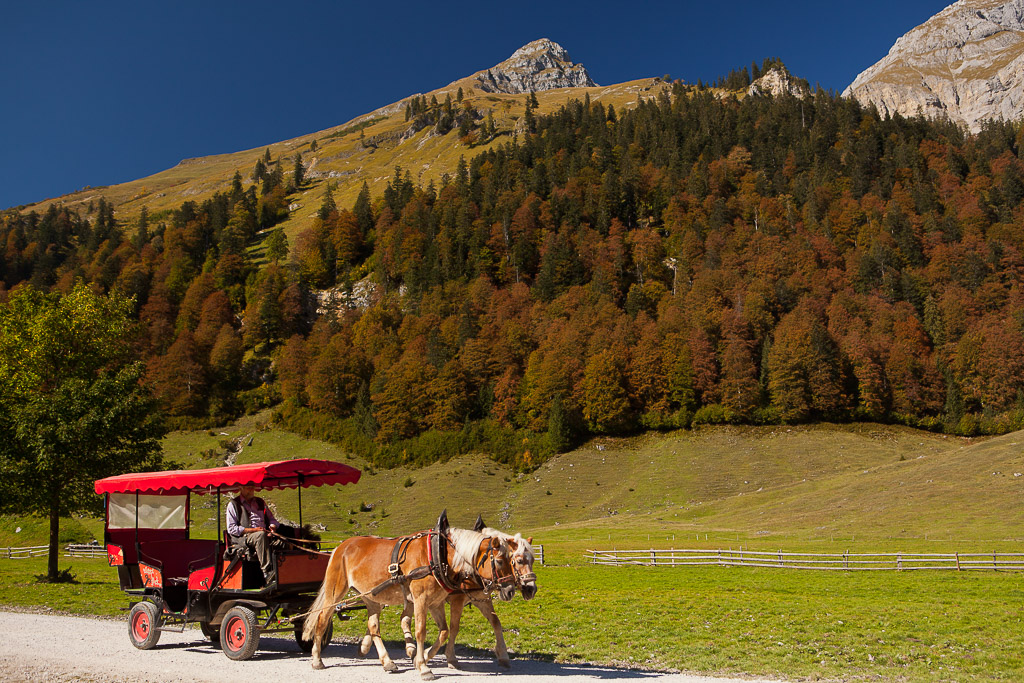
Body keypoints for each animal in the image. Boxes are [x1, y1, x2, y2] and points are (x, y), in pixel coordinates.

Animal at [301, 524, 516, 679]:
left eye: (512, 560)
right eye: (499, 561)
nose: (510, 590)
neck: (438, 556)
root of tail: (340, 546)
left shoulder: (436, 603)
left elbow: (445, 631)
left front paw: (423, 657)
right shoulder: (421, 600)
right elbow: (420, 631)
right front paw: (423, 667)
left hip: (371, 597)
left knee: (373, 626)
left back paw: (387, 662)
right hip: (335, 591)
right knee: (322, 619)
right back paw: (317, 659)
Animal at [399, 518, 540, 667]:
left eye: (533, 560)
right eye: (519, 560)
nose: (531, 589)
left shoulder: (482, 600)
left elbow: (496, 622)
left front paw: (503, 654)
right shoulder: (457, 600)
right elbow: (454, 627)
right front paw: (450, 657)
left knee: (404, 618)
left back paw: (411, 649)